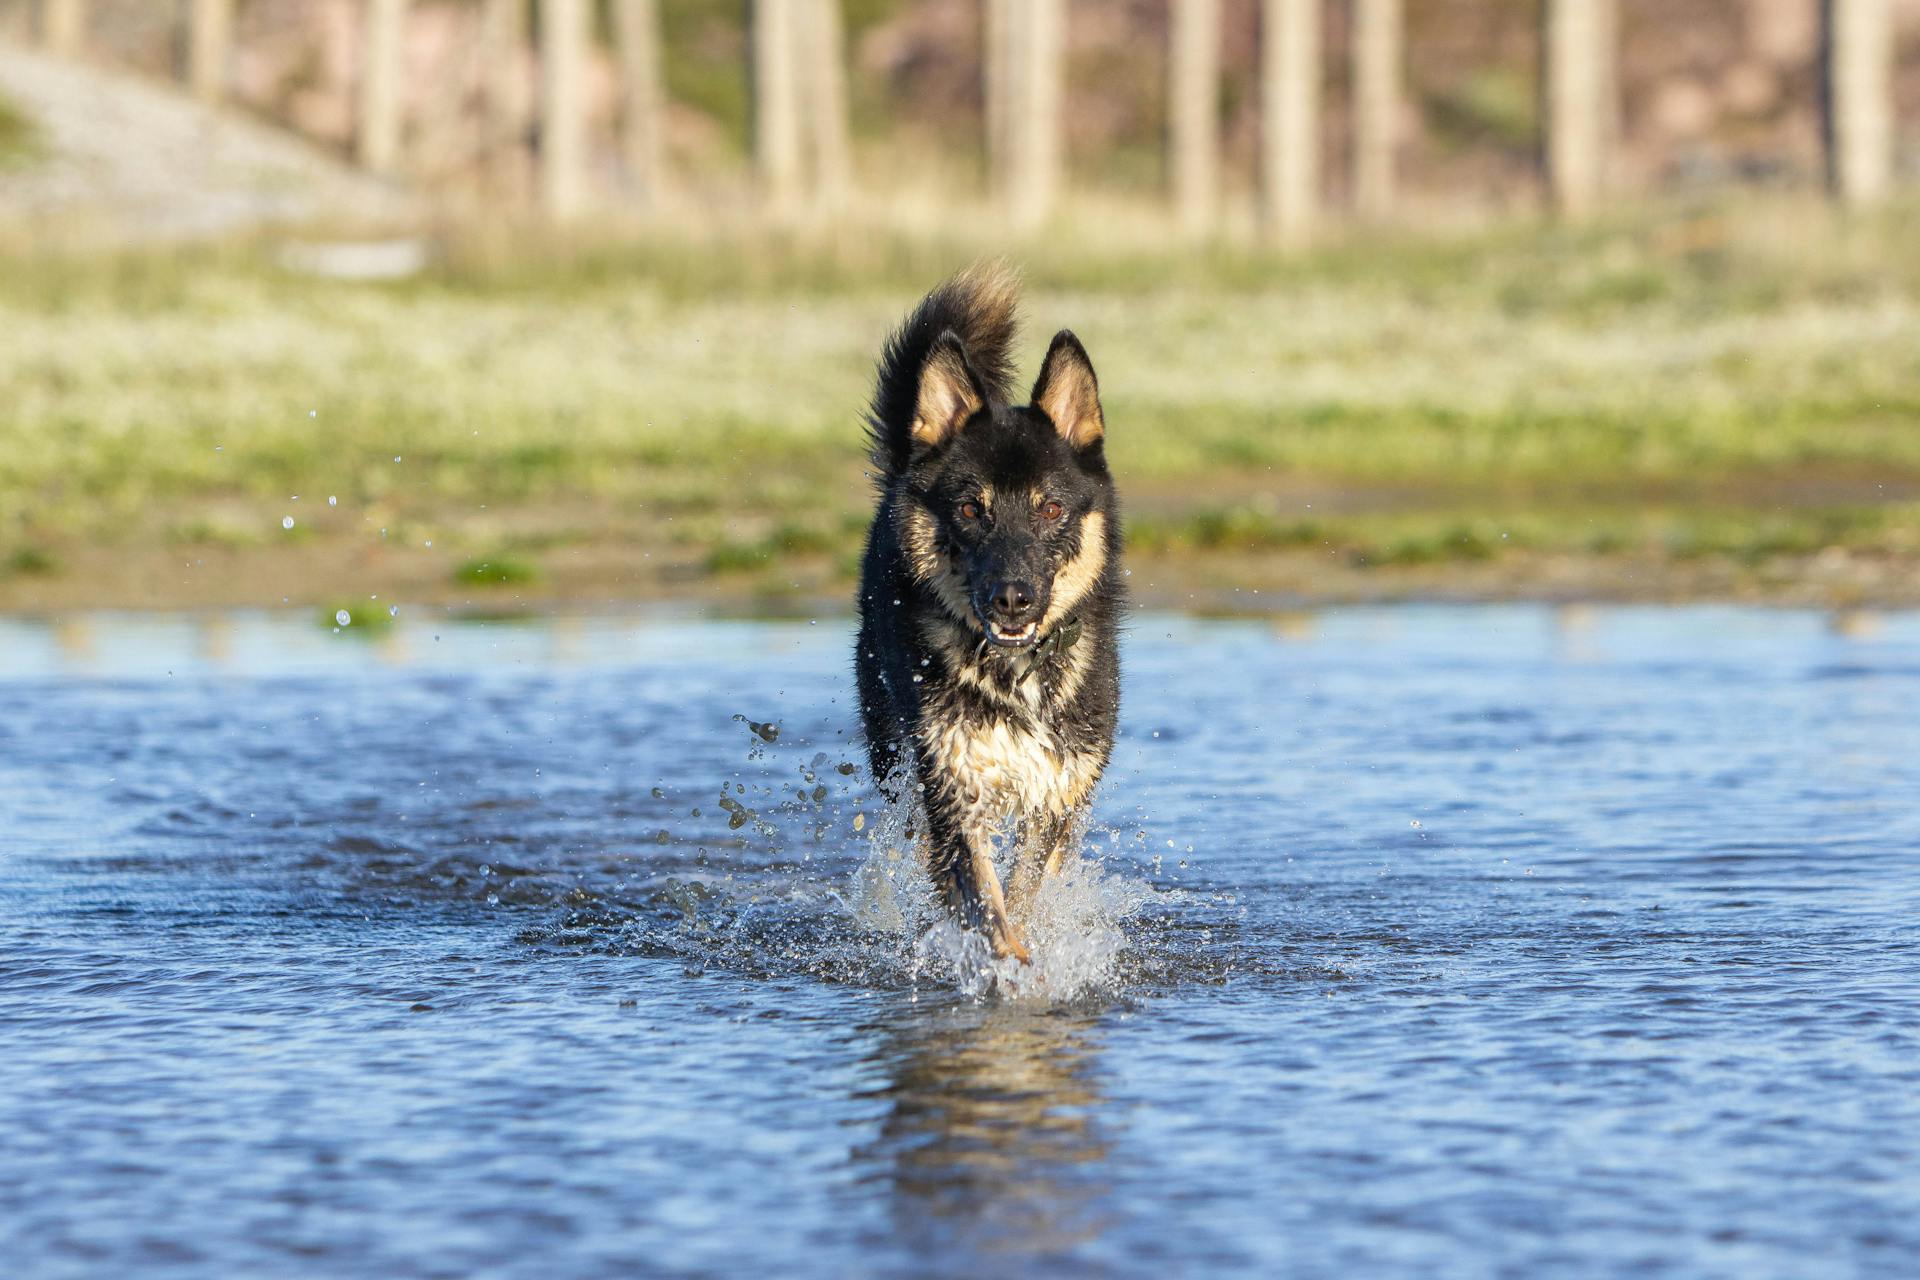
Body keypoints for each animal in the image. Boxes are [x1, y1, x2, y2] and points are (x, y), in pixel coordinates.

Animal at [860, 264, 1121, 967]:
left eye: (1051, 508)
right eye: (972, 509)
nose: (1012, 599)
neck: (1015, 675)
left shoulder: (1056, 797)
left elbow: (1026, 894)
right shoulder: (954, 793)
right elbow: (987, 905)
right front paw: (1006, 966)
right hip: (893, 757)